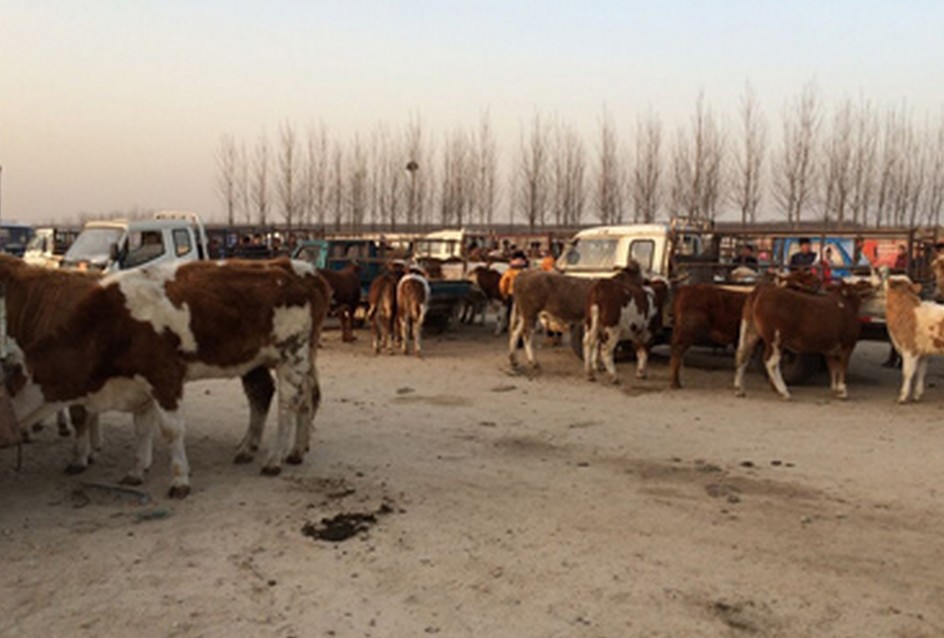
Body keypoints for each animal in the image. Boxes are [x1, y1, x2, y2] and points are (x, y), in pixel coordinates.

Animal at [0, 258, 332, 498]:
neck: (115, 321)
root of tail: (293, 271)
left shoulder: (165, 378)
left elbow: (171, 430)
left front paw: (179, 480)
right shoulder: (140, 383)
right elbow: (142, 429)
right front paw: (136, 471)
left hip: (292, 354)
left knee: (288, 405)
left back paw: (275, 458)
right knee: (285, 397)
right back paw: (282, 450)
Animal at [732, 280, 872, 400]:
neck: (845, 304)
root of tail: (762, 289)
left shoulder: (829, 349)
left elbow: (833, 369)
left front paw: (835, 389)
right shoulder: (847, 345)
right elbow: (842, 367)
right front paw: (842, 391)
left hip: (750, 330)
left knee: (742, 355)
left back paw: (739, 389)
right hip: (775, 339)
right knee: (771, 362)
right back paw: (784, 392)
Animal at [880, 276, 944, 404]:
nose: (885, 277)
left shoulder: (910, 349)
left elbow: (907, 373)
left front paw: (903, 396)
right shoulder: (924, 352)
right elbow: (921, 372)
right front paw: (917, 395)